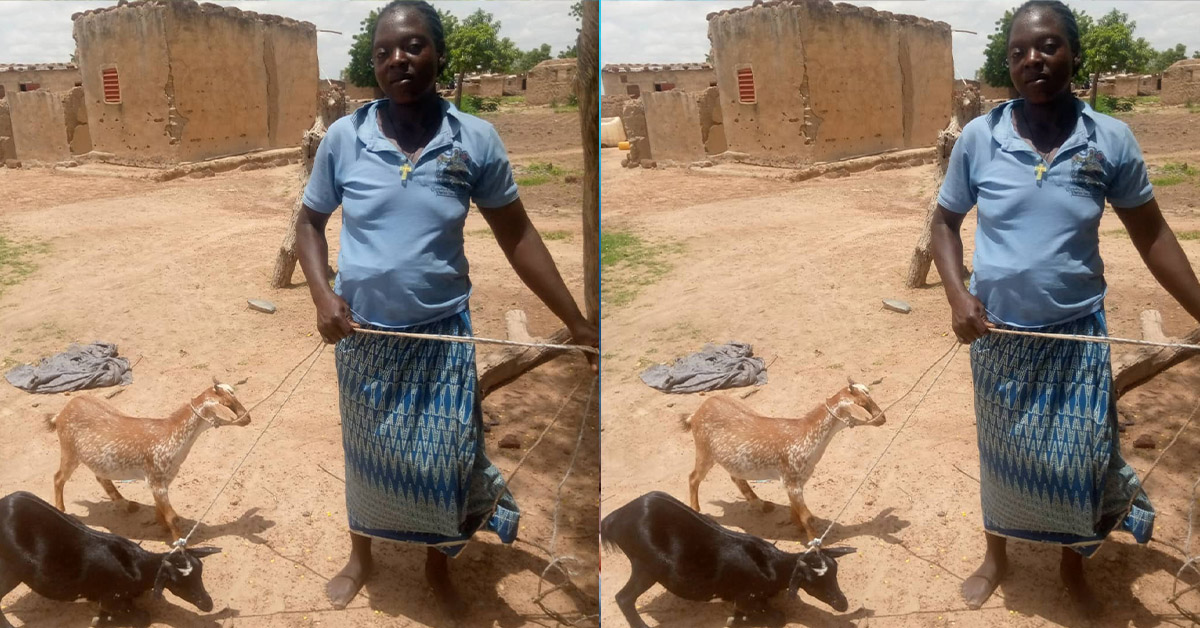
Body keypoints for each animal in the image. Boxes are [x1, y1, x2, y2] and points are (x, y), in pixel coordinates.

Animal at [0, 494, 220, 624]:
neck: (137, 567)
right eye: (177, 582)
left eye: (200, 572)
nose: (207, 604)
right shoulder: (110, 599)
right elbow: (143, 618)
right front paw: (103, 621)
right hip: (11, 570)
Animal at [47, 379, 250, 540]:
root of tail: (62, 412)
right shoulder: (156, 479)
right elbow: (173, 518)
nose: (247, 418)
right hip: (69, 450)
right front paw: (179, 544)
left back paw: (127, 505)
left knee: (100, 477)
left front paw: (161, 525)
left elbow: (160, 509)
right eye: (227, 403)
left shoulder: (163, 480)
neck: (171, 435)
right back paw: (62, 510)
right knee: (58, 477)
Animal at [600, 494, 854, 624]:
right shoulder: (745, 597)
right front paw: (740, 621)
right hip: (646, 567)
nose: (842, 604)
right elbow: (777, 617)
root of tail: (613, 519)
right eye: (813, 581)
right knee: (624, 598)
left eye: (835, 572)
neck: (771, 566)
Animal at [686, 379, 883, 540]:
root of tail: (696, 412)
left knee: (736, 477)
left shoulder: (797, 481)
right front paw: (815, 543)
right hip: (704, 450)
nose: (883, 418)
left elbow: (795, 509)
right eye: (863, 404)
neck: (806, 435)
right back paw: (696, 511)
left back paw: (762, 505)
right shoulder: (791, 480)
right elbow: (808, 517)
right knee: (694, 478)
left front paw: (797, 525)